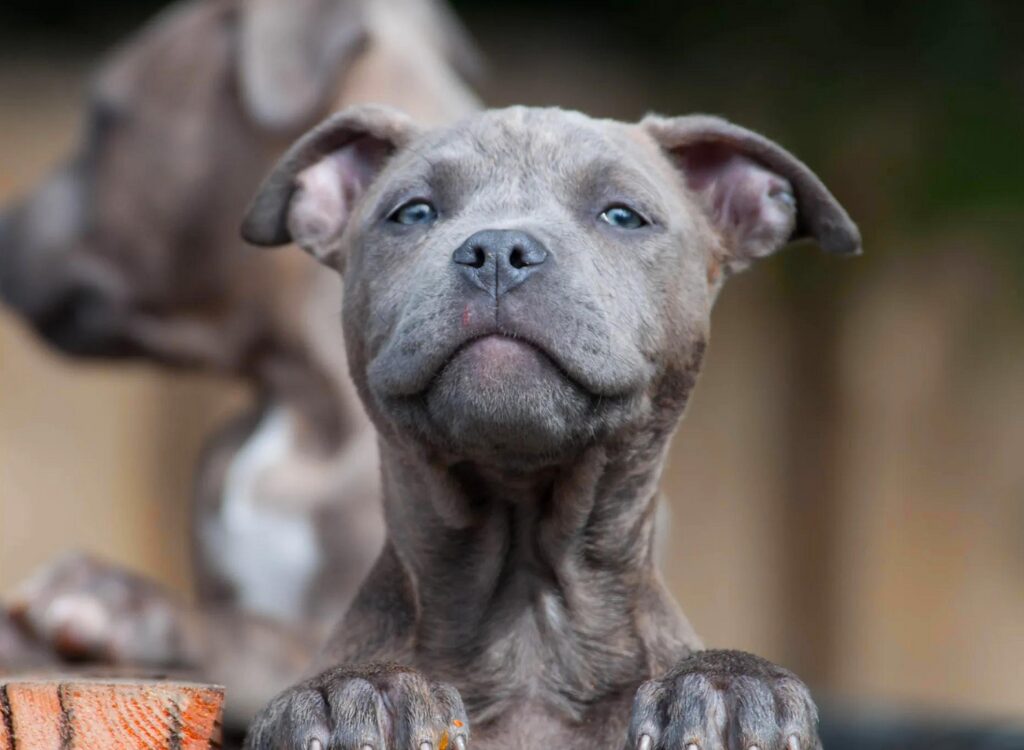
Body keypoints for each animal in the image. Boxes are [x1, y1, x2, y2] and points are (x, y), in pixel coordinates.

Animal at [239, 105, 856, 750]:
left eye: (622, 215)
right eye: (413, 212)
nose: (497, 249)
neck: (528, 629)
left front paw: (724, 687)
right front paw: (360, 694)